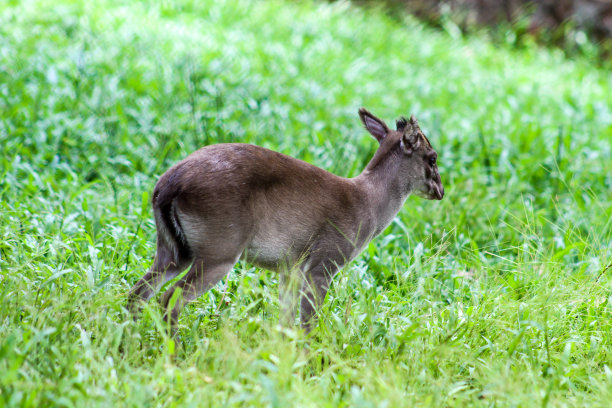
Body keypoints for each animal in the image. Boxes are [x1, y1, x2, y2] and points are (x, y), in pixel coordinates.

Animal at [128, 107, 444, 334]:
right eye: (433, 158)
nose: (440, 191)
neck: (368, 205)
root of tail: (167, 186)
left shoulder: (289, 268)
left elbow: (285, 322)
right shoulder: (323, 262)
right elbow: (306, 323)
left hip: (172, 248)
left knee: (138, 292)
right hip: (219, 250)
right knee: (169, 297)